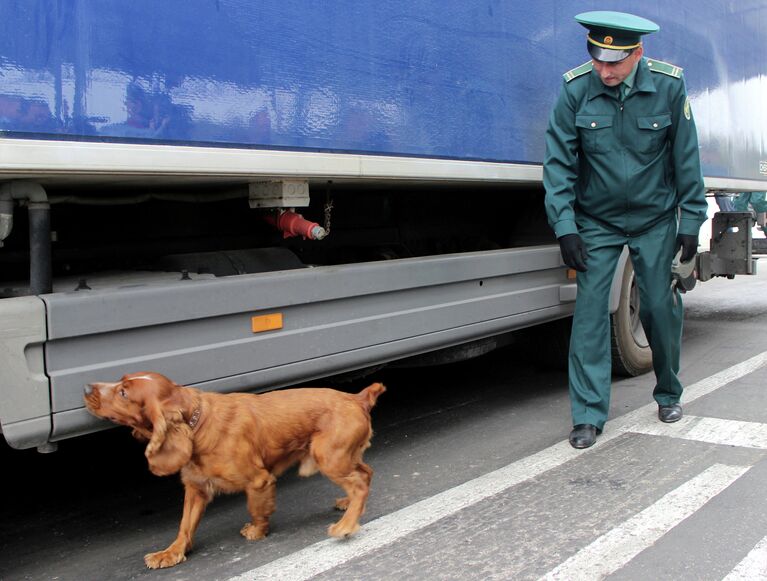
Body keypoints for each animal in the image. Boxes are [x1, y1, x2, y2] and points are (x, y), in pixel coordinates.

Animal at [84, 372, 384, 568]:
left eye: (123, 393)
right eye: (121, 380)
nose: (86, 387)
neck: (197, 424)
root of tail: (358, 398)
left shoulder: (259, 480)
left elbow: (256, 508)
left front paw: (257, 531)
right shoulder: (196, 488)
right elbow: (185, 525)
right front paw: (170, 553)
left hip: (329, 457)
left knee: (360, 483)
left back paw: (345, 525)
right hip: (343, 456)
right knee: (366, 473)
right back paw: (347, 505)